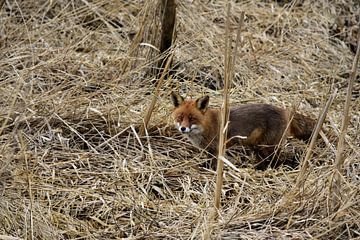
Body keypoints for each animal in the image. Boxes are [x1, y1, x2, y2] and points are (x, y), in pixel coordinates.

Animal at [170, 91, 316, 169]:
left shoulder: (217, 150)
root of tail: (284, 110)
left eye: (192, 118)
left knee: (279, 160)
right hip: (257, 147)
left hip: (268, 147)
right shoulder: (209, 151)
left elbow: (215, 166)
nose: (183, 128)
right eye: (180, 117)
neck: (205, 126)